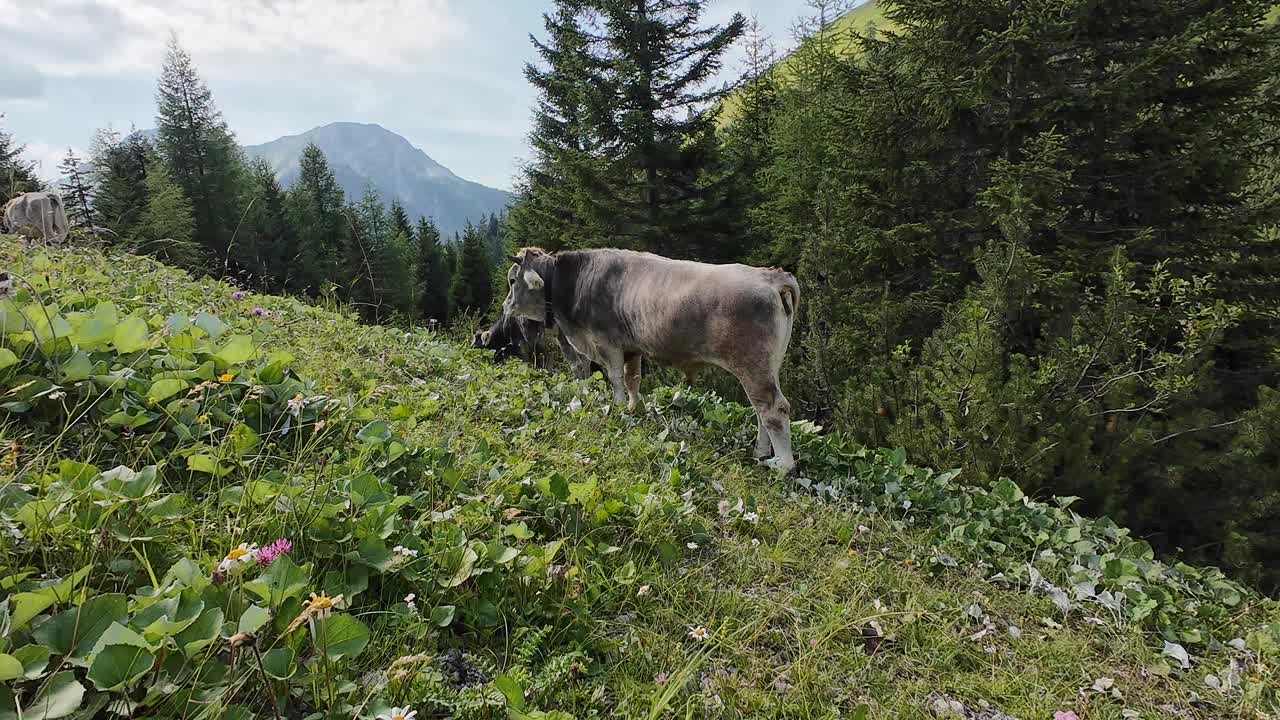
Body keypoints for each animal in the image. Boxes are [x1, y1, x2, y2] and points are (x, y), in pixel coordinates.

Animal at [501, 245, 793, 471]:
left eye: (513, 281)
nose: (505, 306)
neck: (576, 282)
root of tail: (771, 276)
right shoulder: (632, 349)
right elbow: (633, 380)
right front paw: (633, 409)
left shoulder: (607, 343)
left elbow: (616, 379)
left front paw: (619, 409)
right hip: (767, 367)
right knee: (760, 410)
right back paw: (760, 452)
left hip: (753, 366)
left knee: (773, 409)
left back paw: (782, 465)